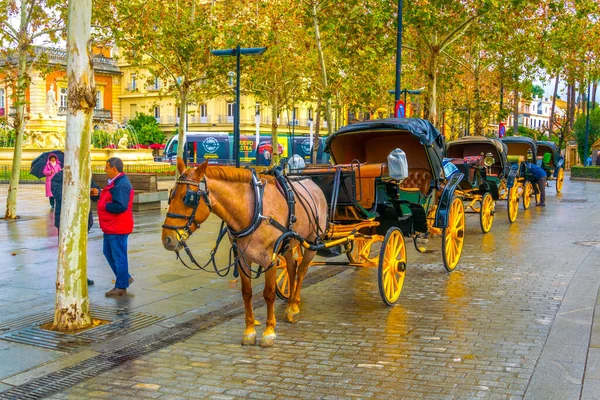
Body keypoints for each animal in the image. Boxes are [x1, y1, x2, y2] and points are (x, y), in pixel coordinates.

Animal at [161, 158, 328, 346]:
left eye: (188, 198)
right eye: (171, 195)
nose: (167, 239)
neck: (254, 210)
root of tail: (313, 184)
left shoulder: (269, 259)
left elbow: (269, 294)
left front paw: (269, 332)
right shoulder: (242, 258)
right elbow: (246, 293)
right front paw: (249, 331)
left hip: (312, 241)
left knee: (302, 270)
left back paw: (294, 307)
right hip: (288, 244)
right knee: (291, 269)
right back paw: (290, 304)